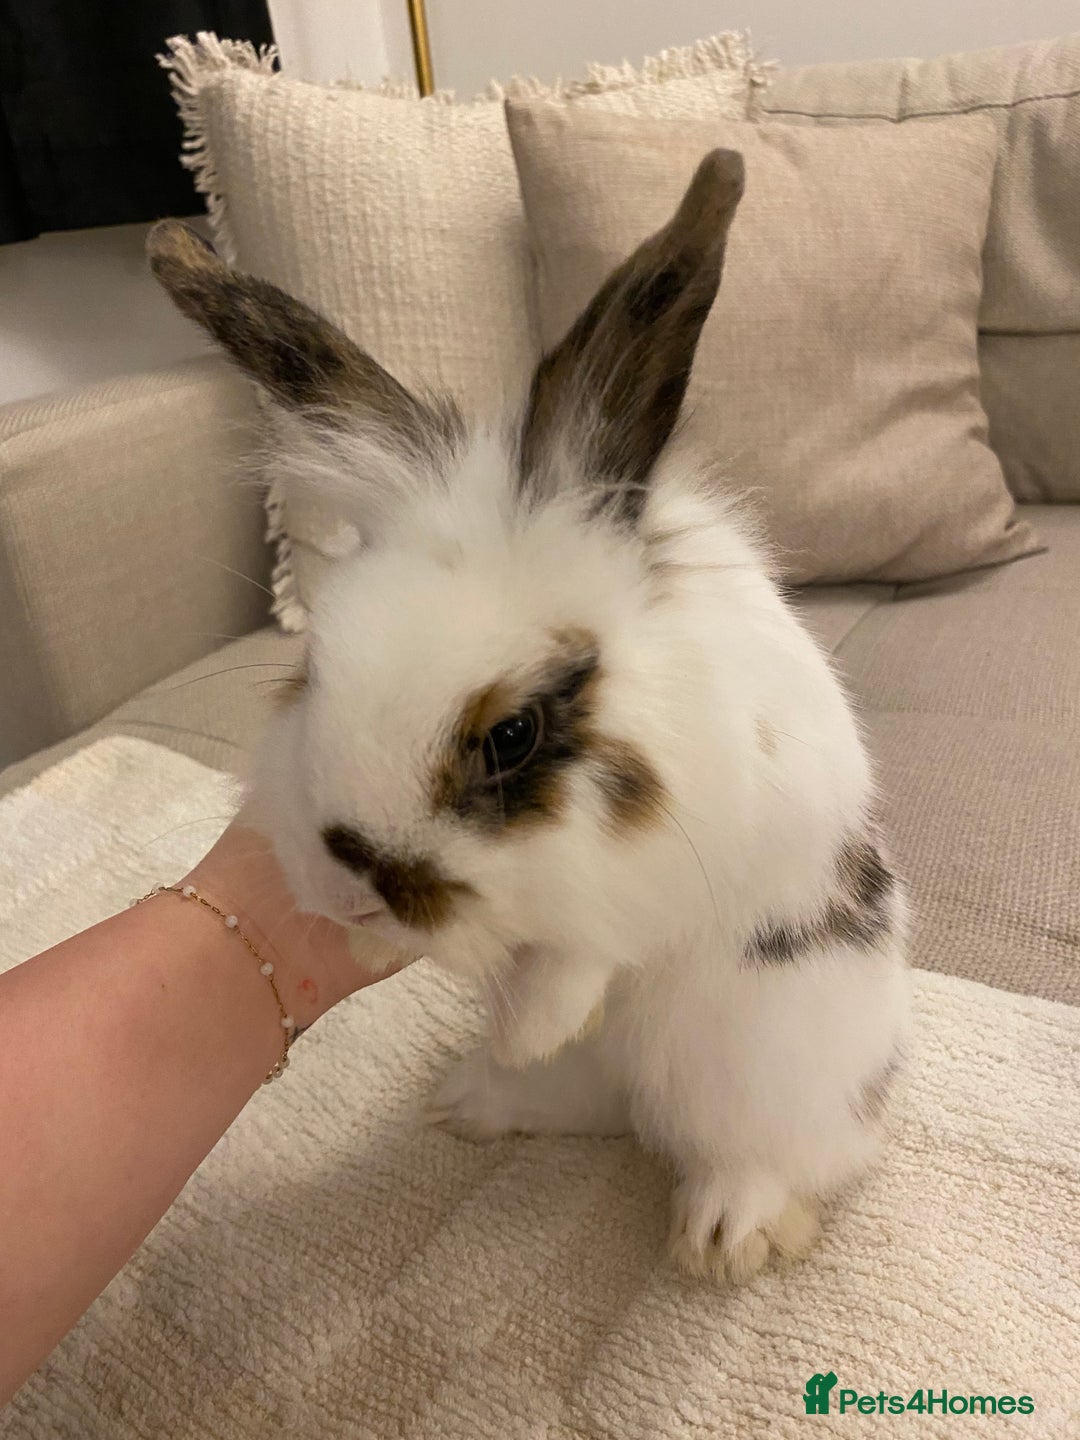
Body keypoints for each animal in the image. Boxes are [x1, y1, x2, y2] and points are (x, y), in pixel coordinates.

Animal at [148, 148, 910, 1284]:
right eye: (314, 667)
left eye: (512, 735)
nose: (352, 889)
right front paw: (455, 1004)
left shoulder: (683, 864)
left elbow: (590, 943)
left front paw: (530, 1020)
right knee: (597, 1102)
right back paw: (482, 1097)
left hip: (765, 1059)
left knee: (776, 1144)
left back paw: (725, 1231)